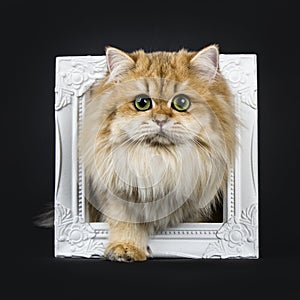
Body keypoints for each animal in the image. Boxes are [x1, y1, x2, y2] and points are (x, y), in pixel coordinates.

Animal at [79, 45, 237, 262]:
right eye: (142, 103)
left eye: (181, 102)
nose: (160, 120)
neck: (160, 162)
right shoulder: (118, 196)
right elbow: (126, 222)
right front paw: (125, 249)